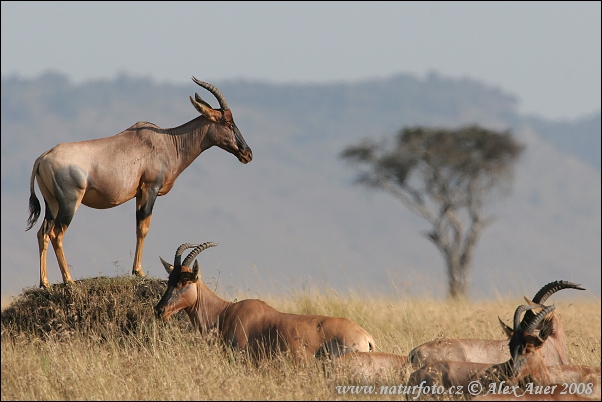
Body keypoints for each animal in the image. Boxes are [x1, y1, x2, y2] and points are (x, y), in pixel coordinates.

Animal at [25, 76, 251, 288]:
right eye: (228, 123)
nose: (247, 153)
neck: (167, 141)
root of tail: (43, 157)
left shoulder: (139, 193)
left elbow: (137, 227)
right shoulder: (150, 189)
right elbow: (144, 227)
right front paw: (139, 272)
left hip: (52, 204)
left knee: (42, 233)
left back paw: (45, 283)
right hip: (69, 203)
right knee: (57, 234)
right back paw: (69, 280)